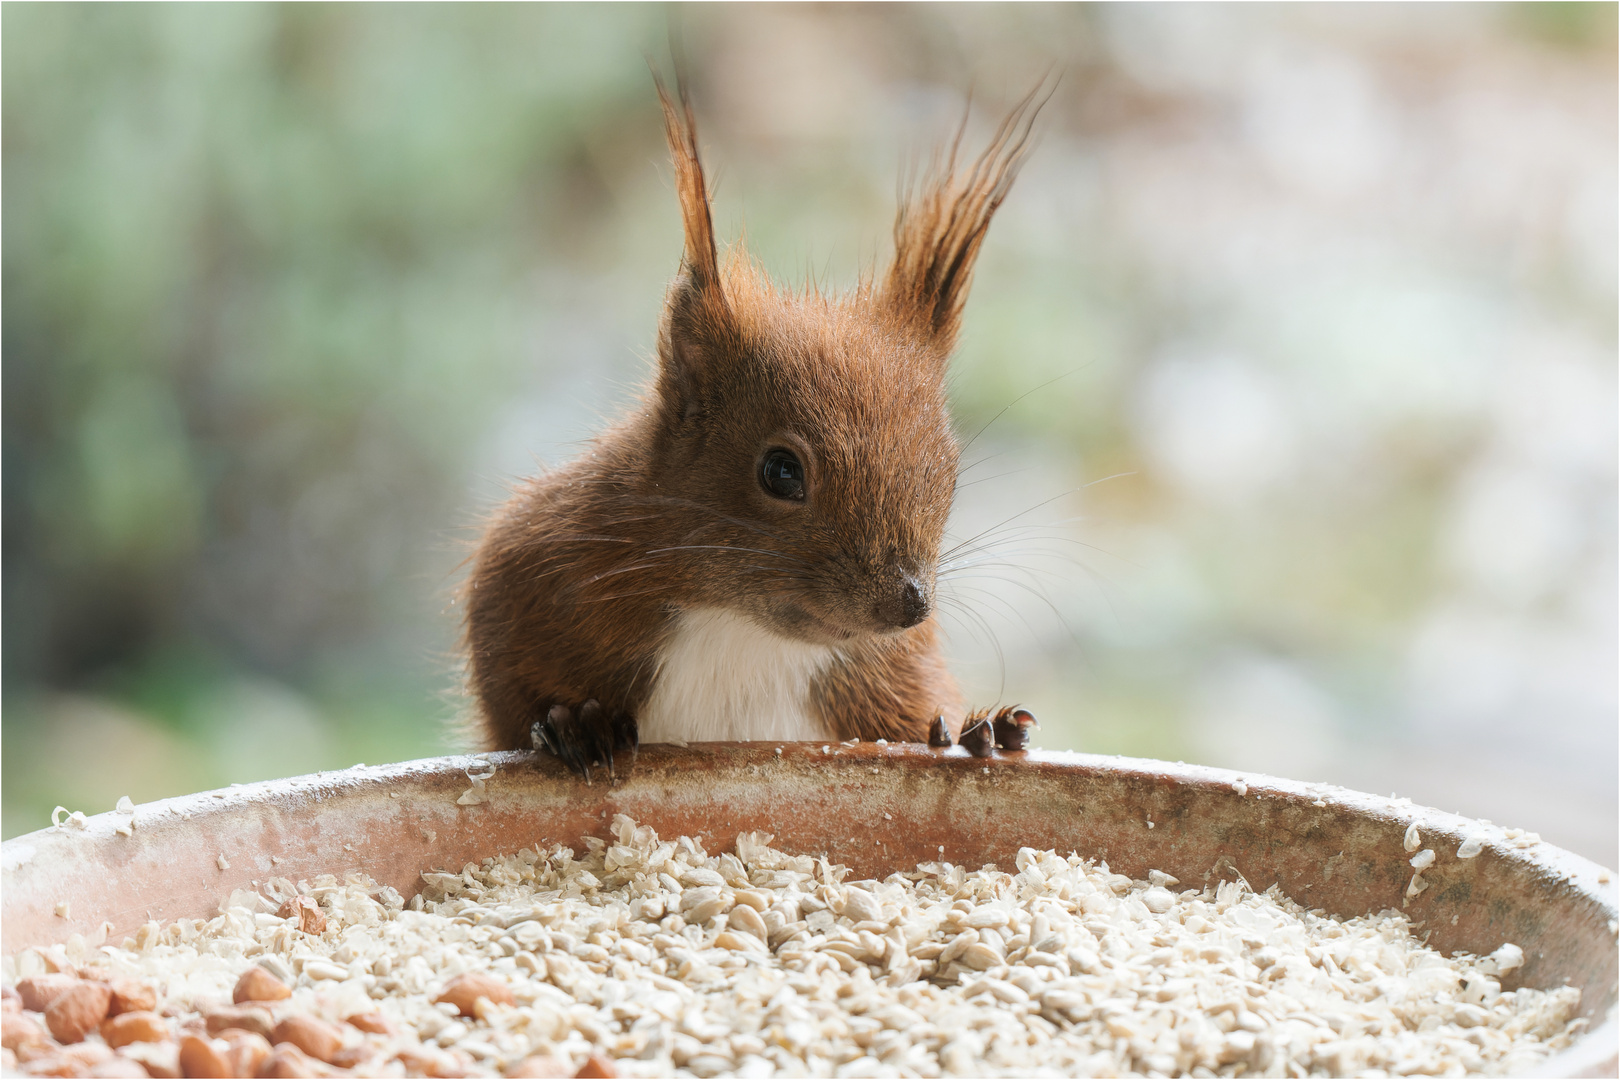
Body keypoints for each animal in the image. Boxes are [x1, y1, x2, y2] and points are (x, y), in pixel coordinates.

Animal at [460, 74, 1036, 777]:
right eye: (780, 471)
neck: (738, 624)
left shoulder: (889, 676)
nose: (910, 604)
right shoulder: (527, 580)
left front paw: (982, 729)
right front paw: (573, 725)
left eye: (951, 474)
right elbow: (513, 703)